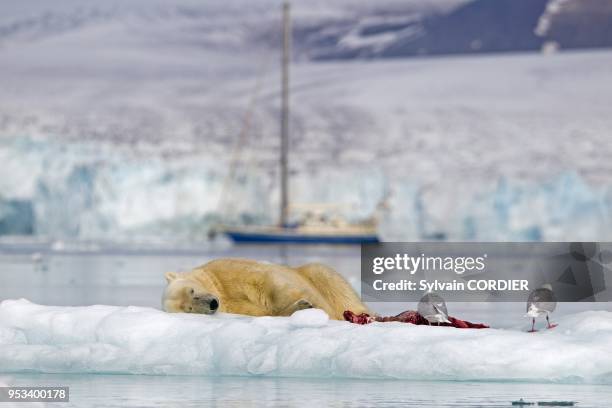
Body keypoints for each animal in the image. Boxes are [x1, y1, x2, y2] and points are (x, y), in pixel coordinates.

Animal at [163, 260, 370, 320]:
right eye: (189, 309)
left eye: (192, 291)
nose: (212, 303)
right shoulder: (235, 307)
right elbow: (262, 312)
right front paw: (301, 307)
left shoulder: (225, 272)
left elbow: (269, 283)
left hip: (318, 274)